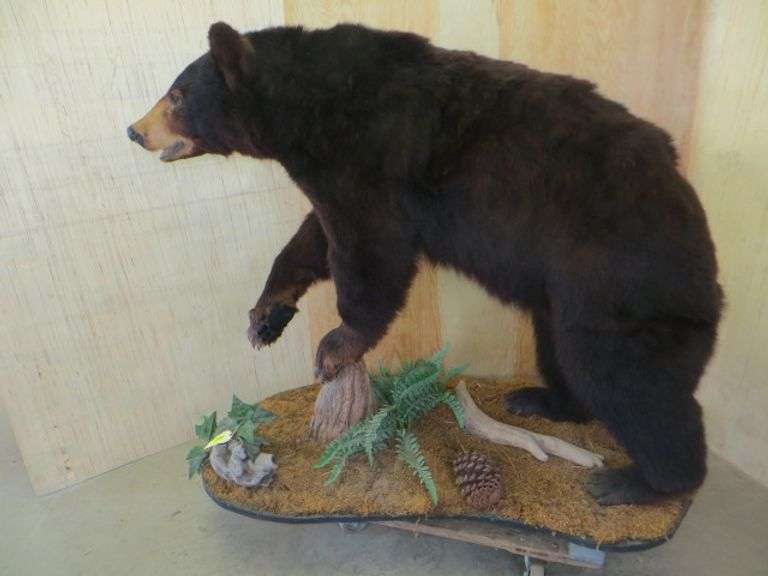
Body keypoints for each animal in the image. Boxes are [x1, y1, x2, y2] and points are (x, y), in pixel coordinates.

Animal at [128, 22, 723, 506]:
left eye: (176, 93)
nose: (134, 130)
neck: (309, 107)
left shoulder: (368, 158)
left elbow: (370, 249)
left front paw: (336, 345)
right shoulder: (333, 173)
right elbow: (313, 237)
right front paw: (265, 317)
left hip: (618, 278)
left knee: (627, 378)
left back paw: (640, 482)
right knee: (564, 352)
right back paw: (539, 398)